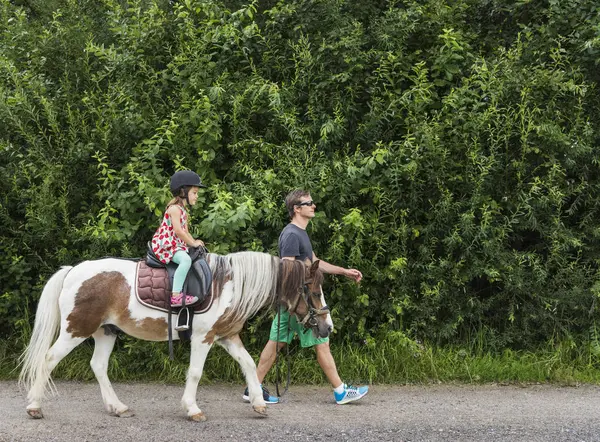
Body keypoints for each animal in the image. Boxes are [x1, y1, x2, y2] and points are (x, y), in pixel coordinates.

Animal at [17, 252, 332, 422]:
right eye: (314, 291)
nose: (327, 327)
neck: (227, 285)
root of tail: (73, 271)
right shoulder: (203, 338)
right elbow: (195, 372)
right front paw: (192, 409)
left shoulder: (227, 336)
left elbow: (249, 364)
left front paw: (258, 403)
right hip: (76, 330)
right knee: (48, 359)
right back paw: (34, 407)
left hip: (105, 332)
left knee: (98, 366)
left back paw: (118, 407)